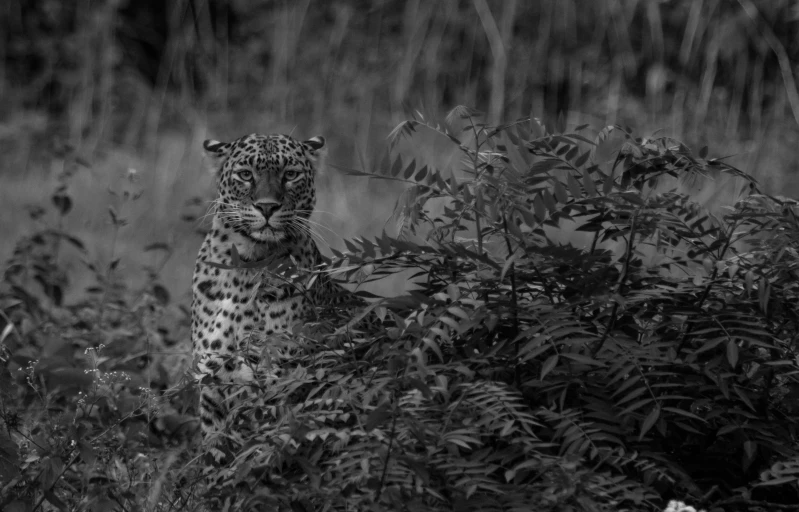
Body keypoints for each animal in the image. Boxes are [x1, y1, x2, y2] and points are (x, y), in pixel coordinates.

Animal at [193, 131, 346, 448]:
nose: (266, 207)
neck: (246, 265)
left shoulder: (281, 378)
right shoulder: (212, 383)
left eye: (290, 174)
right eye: (245, 175)